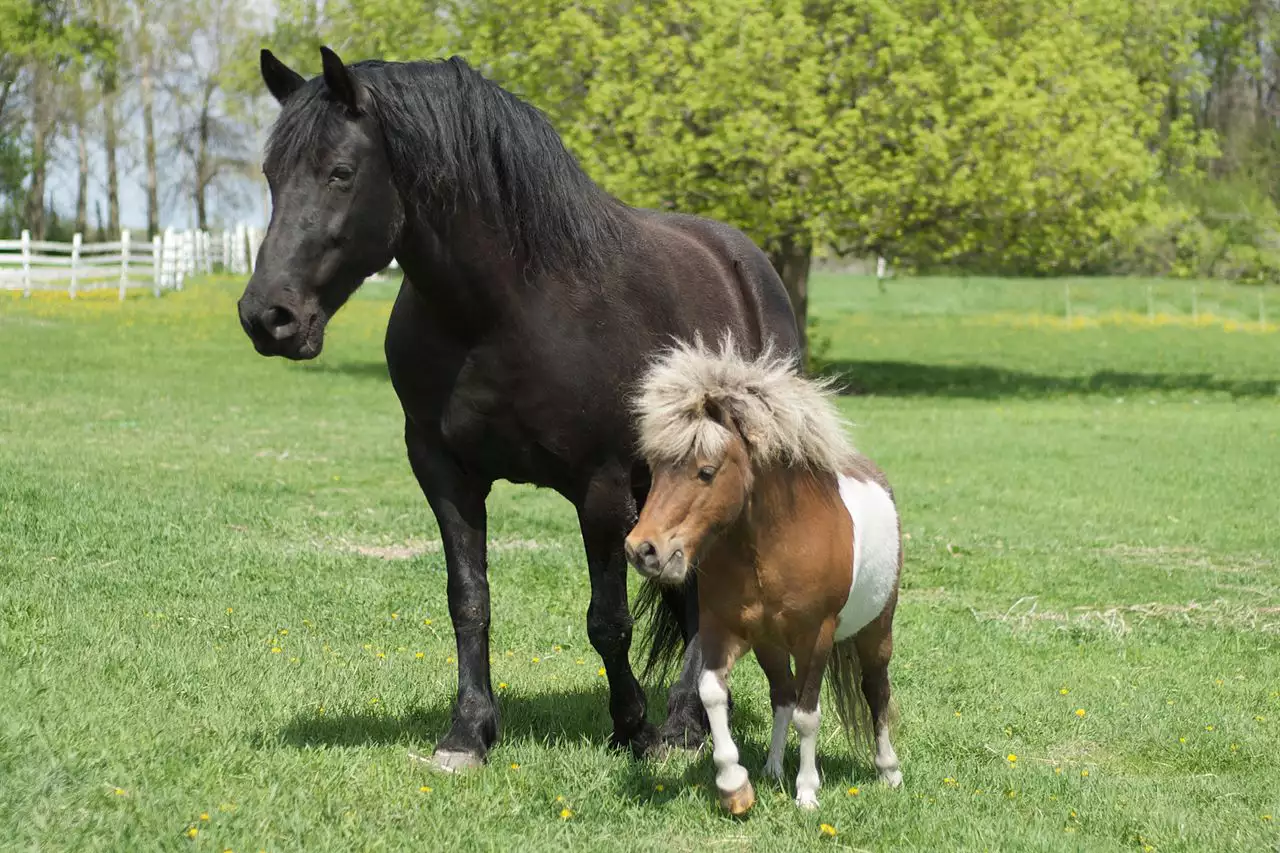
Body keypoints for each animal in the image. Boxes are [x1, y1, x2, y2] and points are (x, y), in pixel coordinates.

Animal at [238, 43, 798, 768]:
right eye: (271, 175)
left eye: (340, 172)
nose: (267, 317)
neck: (502, 309)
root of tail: (746, 263)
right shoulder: (444, 473)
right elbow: (468, 600)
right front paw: (468, 731)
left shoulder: (601, 486)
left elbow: (607, 620)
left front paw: (632, 727)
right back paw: (691, 718)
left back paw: (678, 723)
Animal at [624, 338, 906, 809]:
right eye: (655, 467)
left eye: (706, 471)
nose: (642, 550)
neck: (770, 549)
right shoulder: (727, 631)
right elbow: (713, 692)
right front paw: (734, 784)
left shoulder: (816, 637)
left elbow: (810, 715)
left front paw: (807, 793)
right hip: (770, 646)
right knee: (783, 696)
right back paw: (773, 768)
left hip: (876, 631)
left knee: (875, 690)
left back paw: (889, 771)